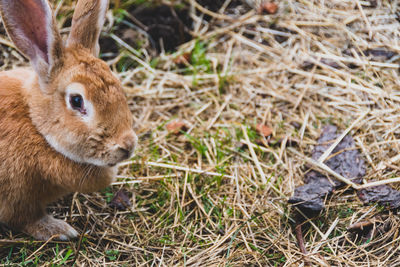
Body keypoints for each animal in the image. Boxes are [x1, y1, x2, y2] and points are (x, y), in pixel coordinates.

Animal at [0, 0, 138, 242]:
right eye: (76, 100)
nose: (128, 146)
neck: (36, 126)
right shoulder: (16, 198)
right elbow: (25, 219)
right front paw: (59, 230)